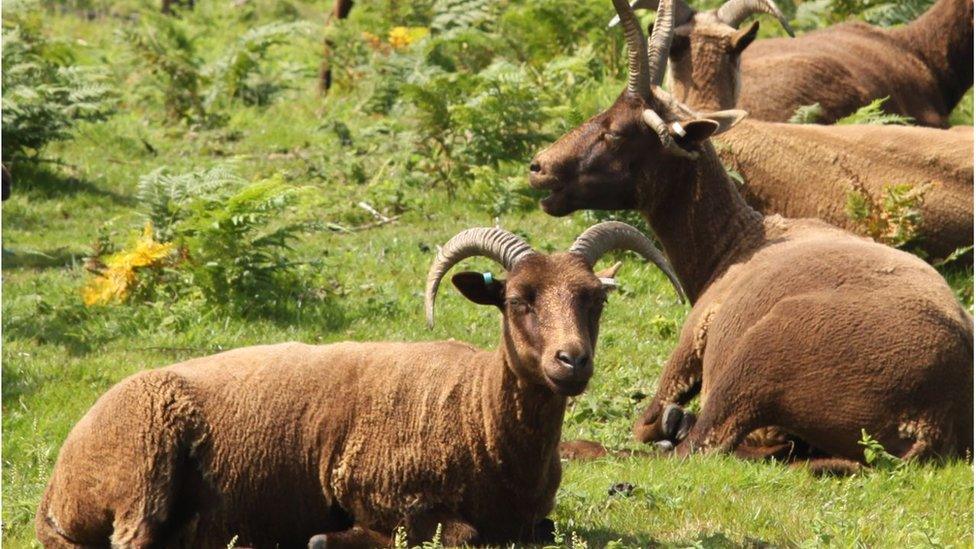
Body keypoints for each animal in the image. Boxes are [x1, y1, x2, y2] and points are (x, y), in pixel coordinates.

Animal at [36, 222, 680, 548]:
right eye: (518, 300)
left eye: (595, 300)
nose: (572, 361)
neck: (479, 416)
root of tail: (56, 487)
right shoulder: (376, 491)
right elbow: (458, 533)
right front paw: (330, 539)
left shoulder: (530, 518)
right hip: (142, 465)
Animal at [528, 0, 972, 468]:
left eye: (615, 131)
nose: (539, 167)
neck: (738, 240)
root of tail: (931, 419)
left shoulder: (690, 342)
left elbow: (647, 423)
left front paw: (667, 422)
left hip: (755, 363)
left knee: (697, 445)